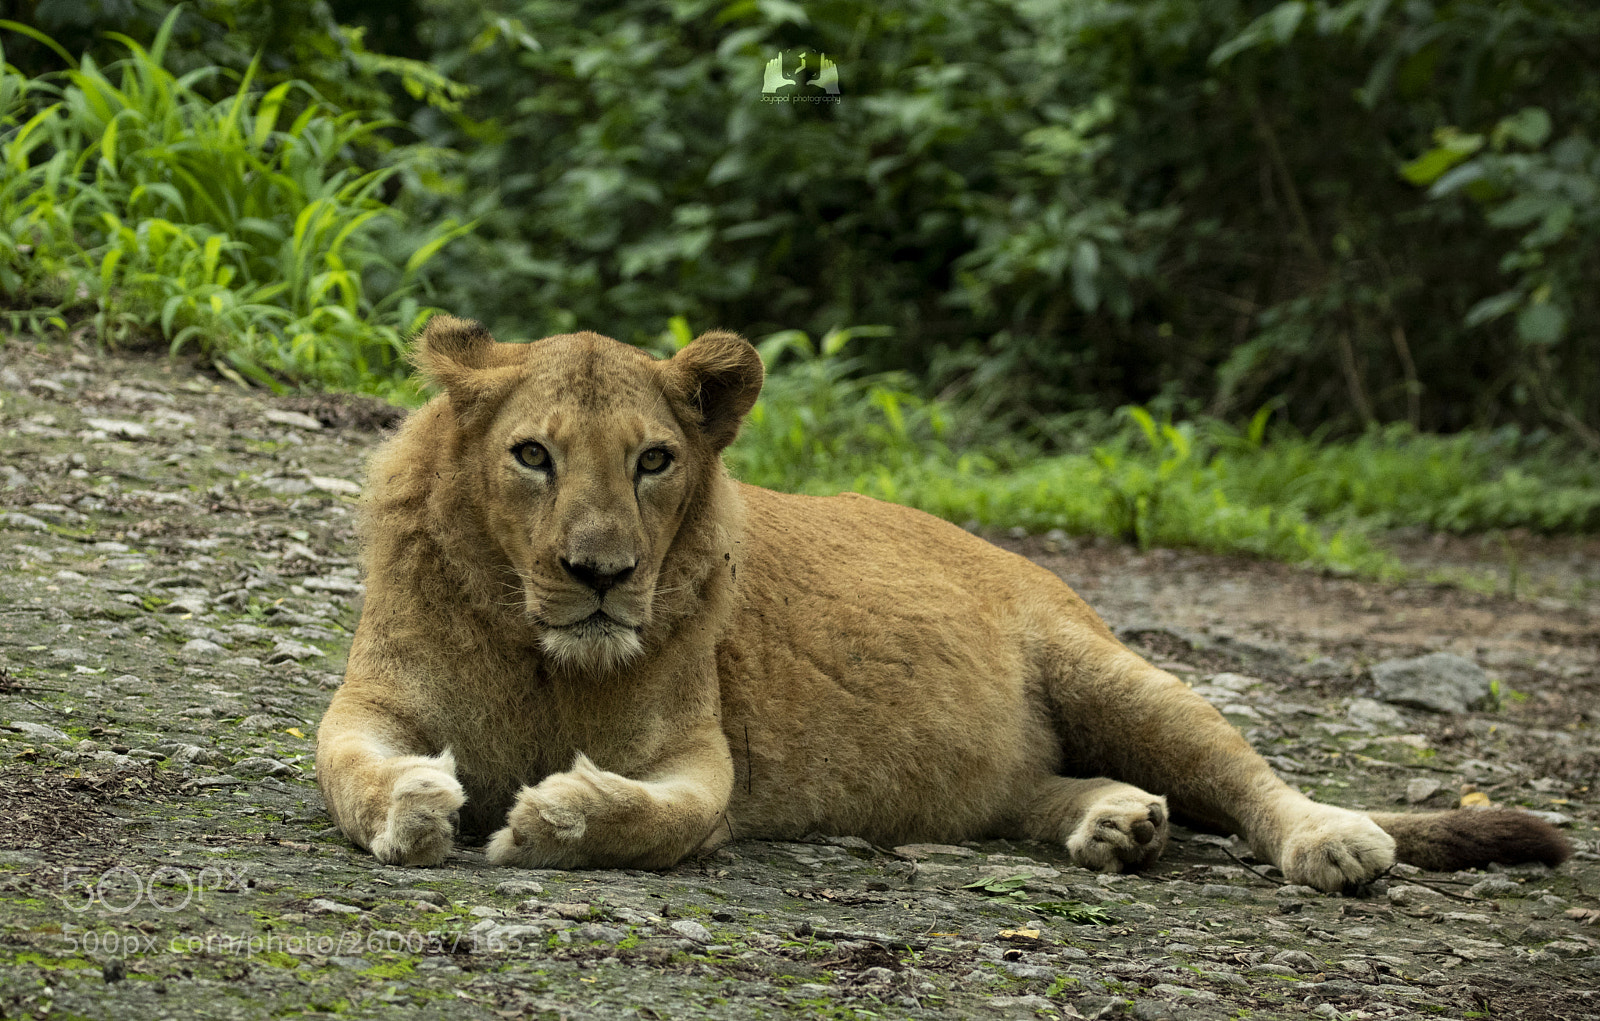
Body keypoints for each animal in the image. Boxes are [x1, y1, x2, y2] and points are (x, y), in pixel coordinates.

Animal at [315, 316, 1571, 892]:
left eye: (652, 462)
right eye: (531, 455)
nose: (601, 574)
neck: (541, 652)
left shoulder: (700, 759)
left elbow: (656, 816)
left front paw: (552, 817)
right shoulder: (369, 703)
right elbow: (347, 766)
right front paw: (413, 806)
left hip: (1108, 669)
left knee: (1251, 779)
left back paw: (1331, 840)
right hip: (989, 769)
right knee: (1045, 789)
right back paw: (1119, 823)